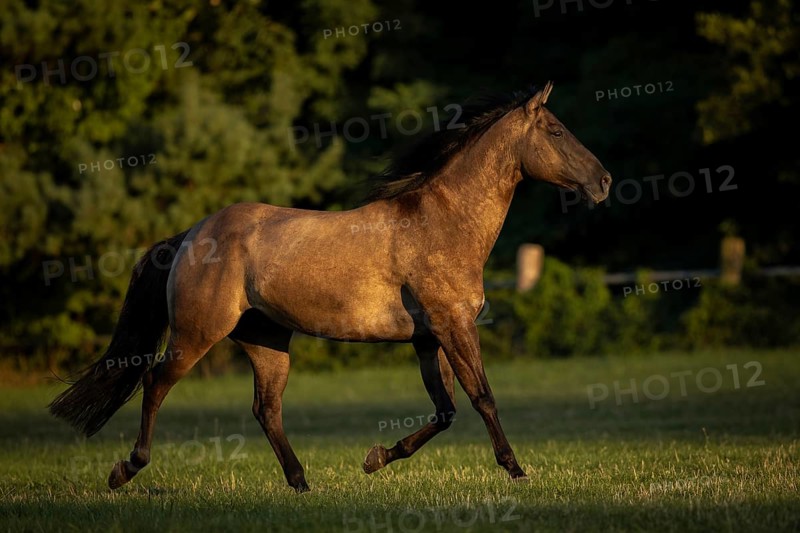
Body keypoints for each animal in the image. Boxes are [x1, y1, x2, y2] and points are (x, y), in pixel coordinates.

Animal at [49, 81, 611, 493]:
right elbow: (482, 398)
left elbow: (446, 410)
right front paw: (516, 469)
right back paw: (125, 469)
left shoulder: (429, 338)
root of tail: (190, 235)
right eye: (556, 131)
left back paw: (301, 482)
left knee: (266, 409)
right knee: (155, 383)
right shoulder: (454, 326)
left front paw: (377, 458)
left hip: (267, 340)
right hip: (196, 334)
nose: (604, 182)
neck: (443, 224)